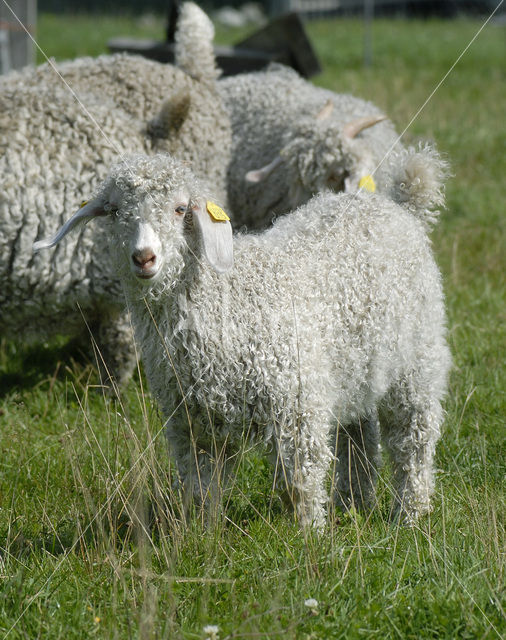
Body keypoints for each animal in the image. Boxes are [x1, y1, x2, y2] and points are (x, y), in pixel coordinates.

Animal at [33, 152, 448, 528]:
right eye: (115, 210)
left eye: (180, 209)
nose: (144, 258)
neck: (227, 297)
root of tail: (398, 206)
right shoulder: (193, 422)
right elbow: (200, 487)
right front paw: (201, 536)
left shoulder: (296, 405)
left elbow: (300, 481)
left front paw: (311, 536)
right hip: (355, 367)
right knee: (358, 433)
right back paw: (352, 504)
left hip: (417, 360)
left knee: (414, 438)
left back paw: (408, 515)